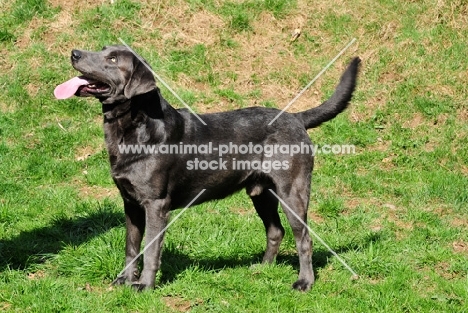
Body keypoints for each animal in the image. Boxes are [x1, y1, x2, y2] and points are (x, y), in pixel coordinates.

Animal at [55, 44, 362, 290]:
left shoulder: (155, 204)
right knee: (275, 231)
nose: (75, 53)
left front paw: (144, 286)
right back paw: (262, 268)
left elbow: (151, 249)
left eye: (113, 59)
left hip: (292, 192)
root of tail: (296, 118)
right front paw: (123, 280)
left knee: (304, 239)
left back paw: (304, 282)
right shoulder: (130, 202)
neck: (133, 127)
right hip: (261, 192)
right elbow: (131, 246)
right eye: (102, 49)